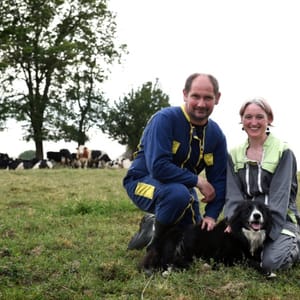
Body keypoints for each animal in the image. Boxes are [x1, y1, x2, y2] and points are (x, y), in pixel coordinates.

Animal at [142, 200, 274, 274]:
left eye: (262, 210)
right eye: (248, 210)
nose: (257, 215)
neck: (243, 233)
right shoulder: (224, 258)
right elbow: (249, 262)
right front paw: (268, 271)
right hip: (175, 239)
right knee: (166, 262)